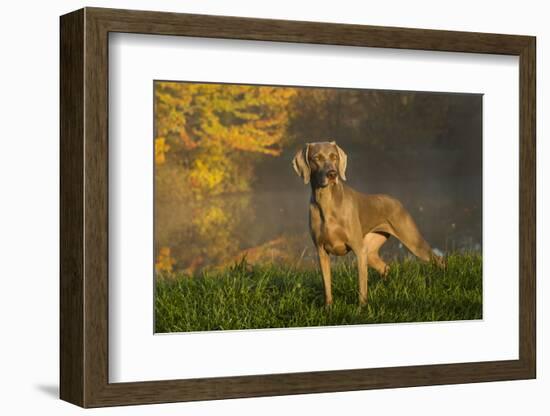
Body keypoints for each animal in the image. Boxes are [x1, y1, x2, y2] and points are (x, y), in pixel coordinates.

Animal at [294, 141, 444, 306]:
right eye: (316, 158)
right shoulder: (321, 251)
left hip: (412, 241)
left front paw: (362, 308)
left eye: (334, 157)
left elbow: (362, 286)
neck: (327, 202)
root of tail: (396, 200)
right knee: (385, 267)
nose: (332, 174)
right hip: (371, 251)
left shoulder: (359, 250)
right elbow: (327, 286)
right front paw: (328, 308)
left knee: (438, 260)